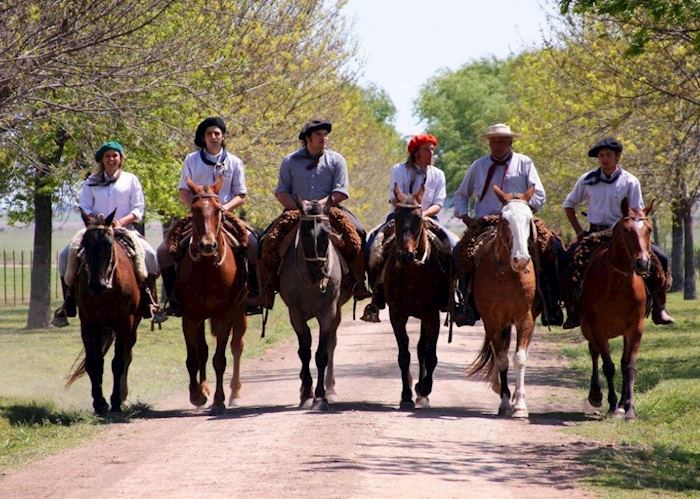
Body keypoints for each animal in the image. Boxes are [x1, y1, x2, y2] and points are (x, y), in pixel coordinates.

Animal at [65, 209, 141, 416]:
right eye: (85, 244)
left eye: (108, 244)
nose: (96, 285)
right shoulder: (89, 325)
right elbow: (94, 363)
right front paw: (99, 403)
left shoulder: (124, 323)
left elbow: (118, 362)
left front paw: (115, 402)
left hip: (132, 327)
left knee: (127, 357)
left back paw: (122, 396)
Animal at [176, 176, 247, 414]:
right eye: (194, 209)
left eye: (218, 210)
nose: (208, 245)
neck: (207, 268)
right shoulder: (190, 317)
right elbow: (193, 357)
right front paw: (197, 395)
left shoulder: (223, 316)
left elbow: (220, 359)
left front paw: (219, 400)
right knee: (203, 351)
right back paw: (204, 389)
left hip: (240, 313)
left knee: (237, 347)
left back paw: (235, 393)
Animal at [382, 185, 448, 410]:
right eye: (396, 216)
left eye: (419, 218)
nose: (405, 256)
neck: (413, 273)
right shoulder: (397, 316)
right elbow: (404, 356)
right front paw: (406, 396)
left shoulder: (432, 316)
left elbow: (431, 355)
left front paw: (424, 388)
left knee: (423, 350)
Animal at [468, 184, 540, 418]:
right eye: (505, 220)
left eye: (528, 219)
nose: (521, 260)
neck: (507, 275)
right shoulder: (492, 321)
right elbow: (501, 359)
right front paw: (505, 401)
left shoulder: (525, 318)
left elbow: (519, 358)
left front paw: (520, 405)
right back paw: (498, 386)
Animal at [576, 197, 652, 420]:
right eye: (626, 230)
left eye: (649, 229)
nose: (642, 263)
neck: (618, 283)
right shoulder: (598, 329)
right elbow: (608, 366)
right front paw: (611, 404)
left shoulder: (635, 329)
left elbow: (628, 366)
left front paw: (628, 409)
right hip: (588, 329)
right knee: (594, 354)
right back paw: (596, 394)